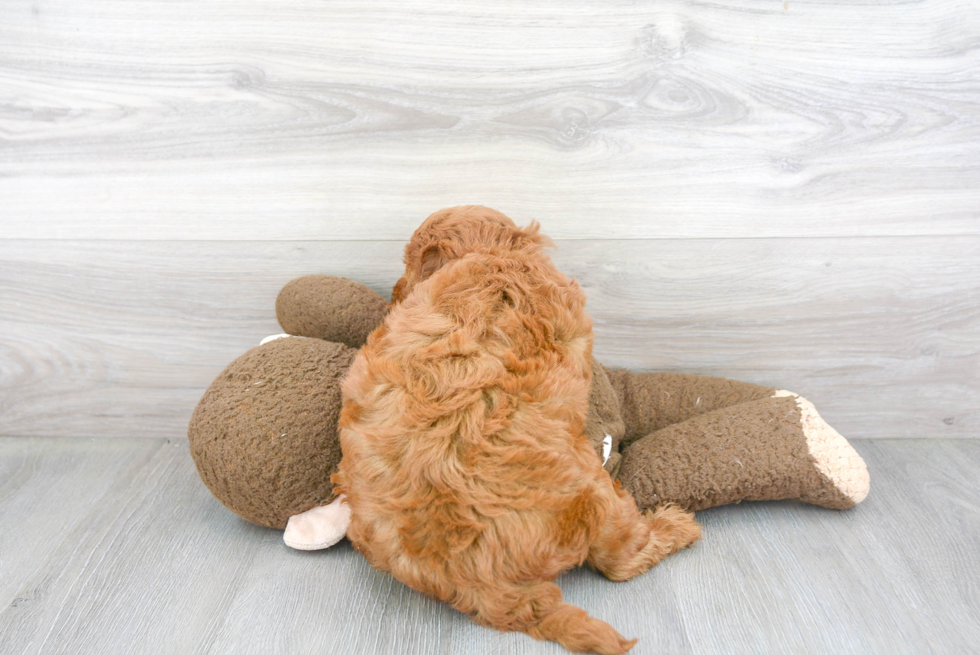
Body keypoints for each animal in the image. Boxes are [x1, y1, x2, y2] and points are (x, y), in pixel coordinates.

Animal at [334, 206, 700, 655]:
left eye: (408, 264)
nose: (395, 292)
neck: (487, 255)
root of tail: (493, 594)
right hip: (598, 498)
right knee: (619, 561)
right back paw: (676, 526)